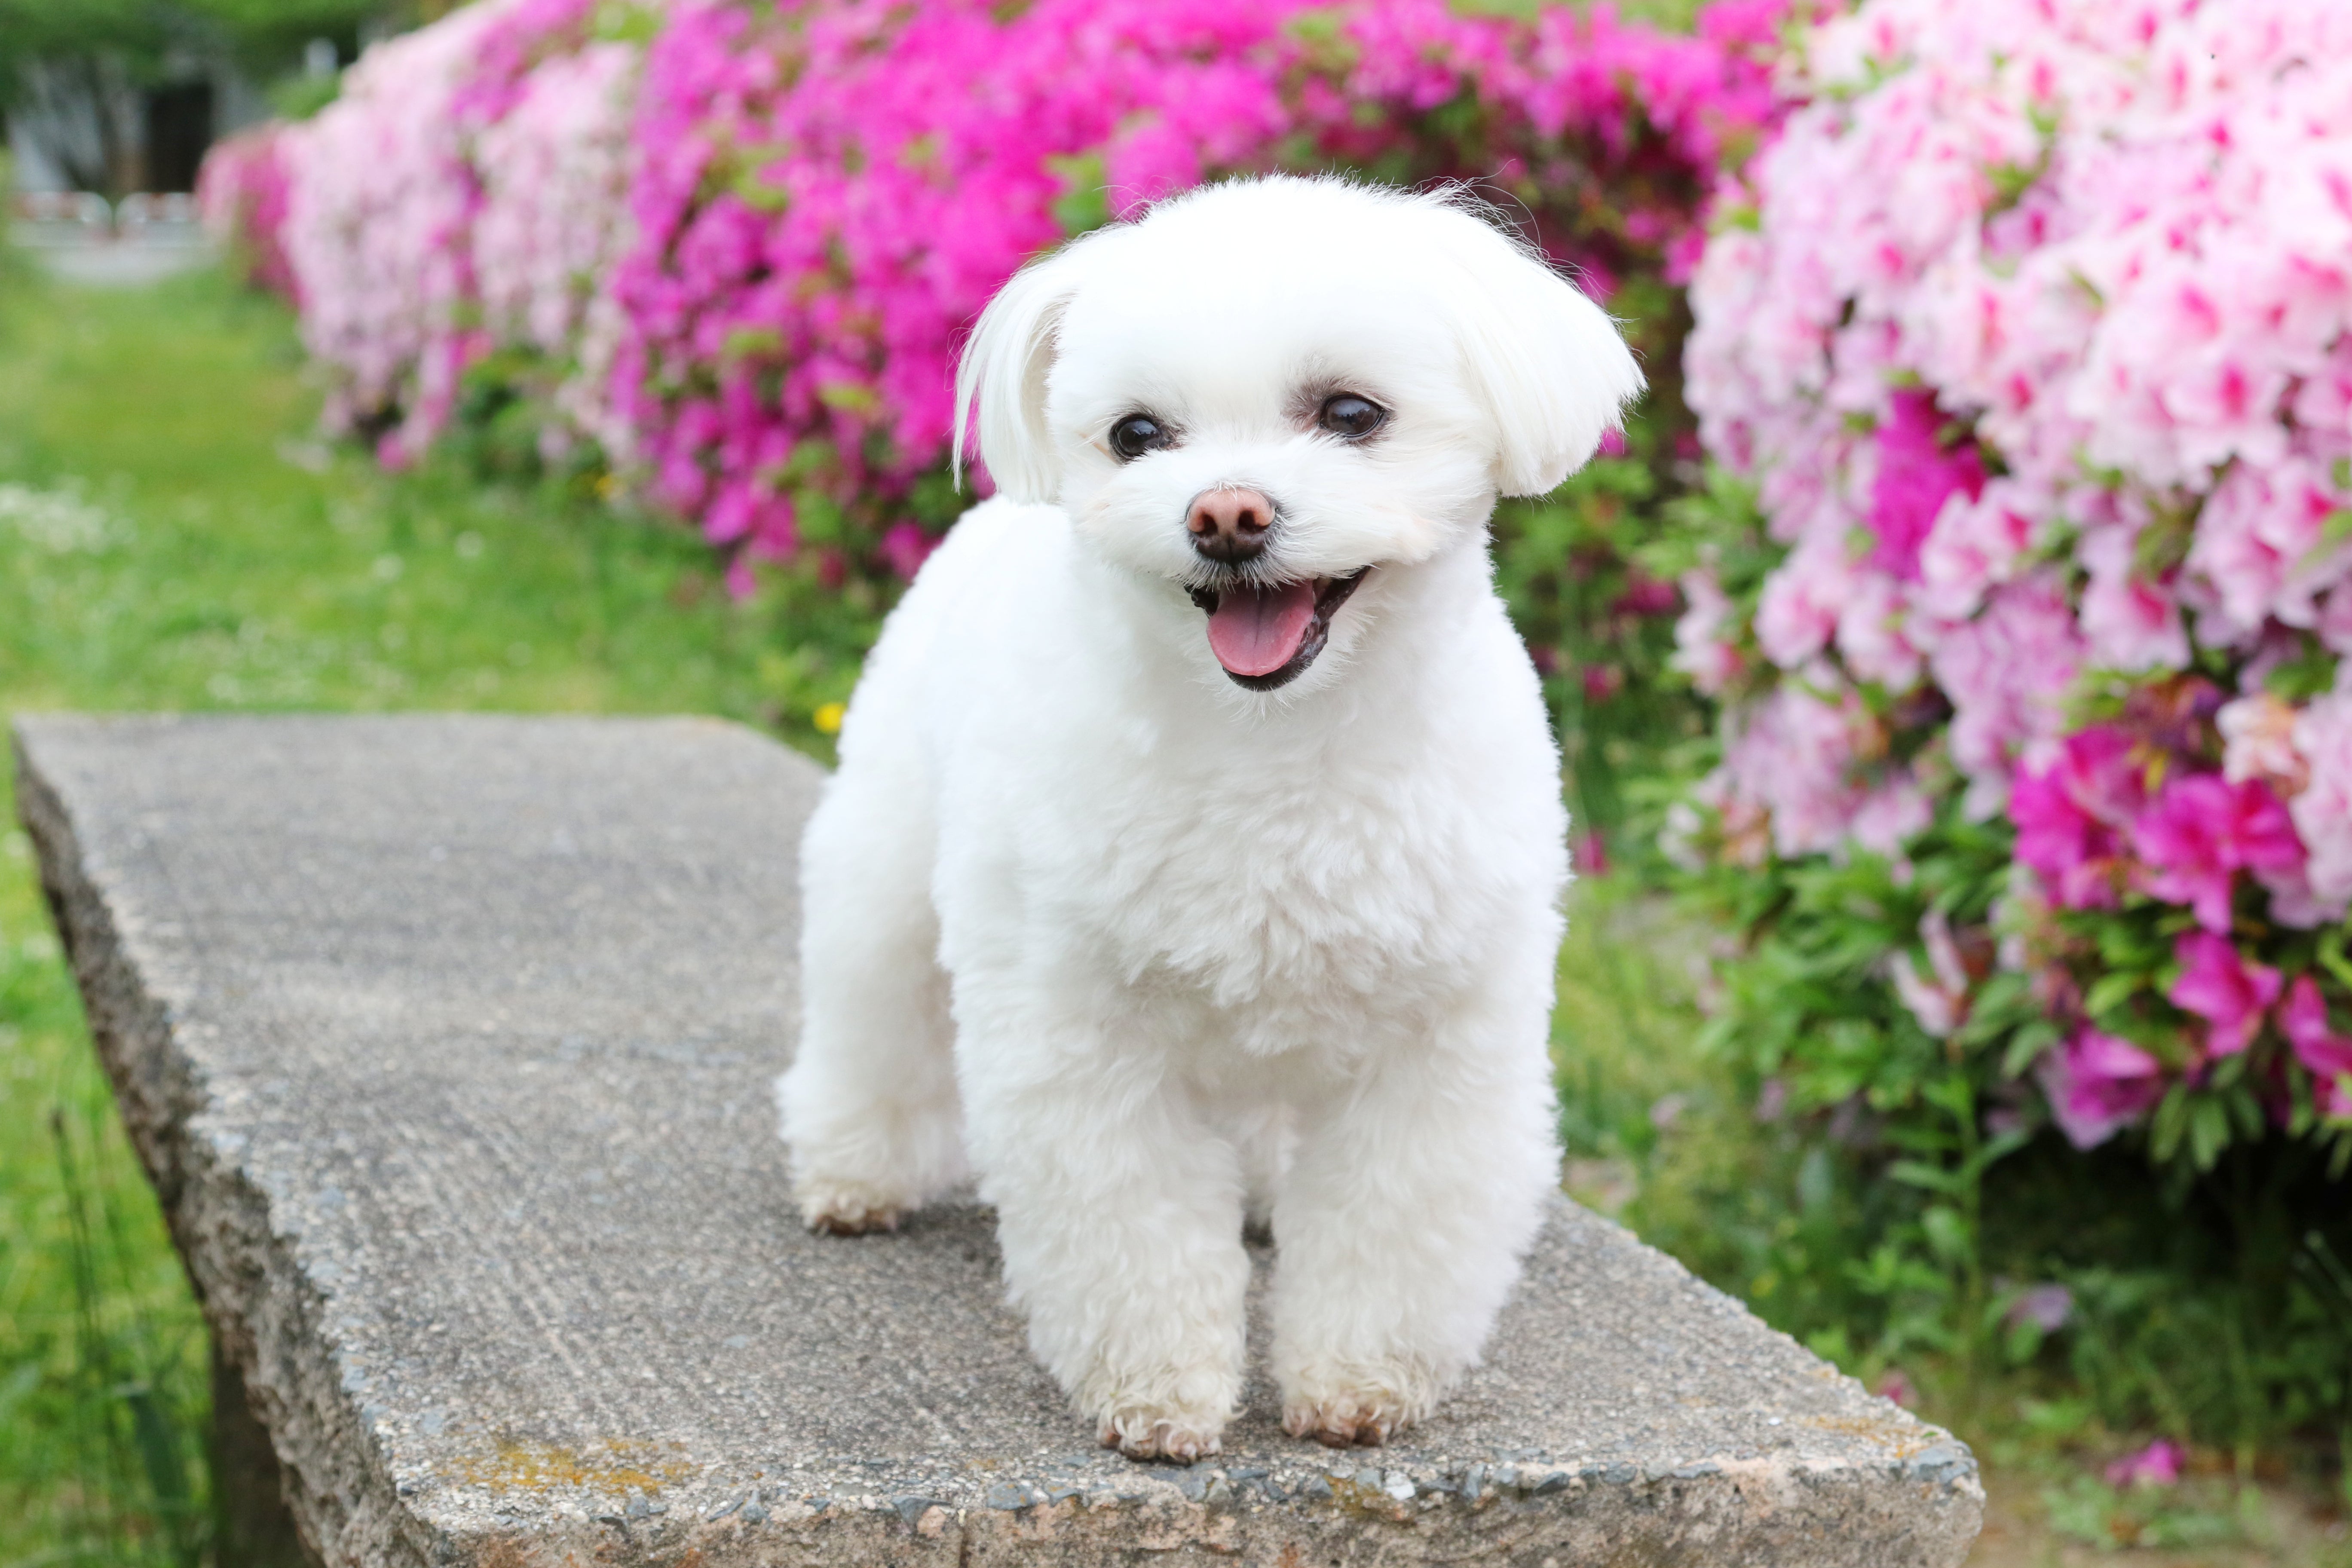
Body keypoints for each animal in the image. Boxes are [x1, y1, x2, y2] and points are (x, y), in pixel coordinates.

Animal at [781, 177, 1646, 1467]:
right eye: (1139, 435)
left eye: (1350, 412)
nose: (1225, 515)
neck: (1274, 745)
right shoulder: (1079, 1035)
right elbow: (1128, 1226)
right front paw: (1159, 1392)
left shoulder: (1439, 1037)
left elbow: (1394, 1220)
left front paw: (1356, 1382)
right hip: (885, 865)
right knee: (870, 1013)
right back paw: (851, 1171)